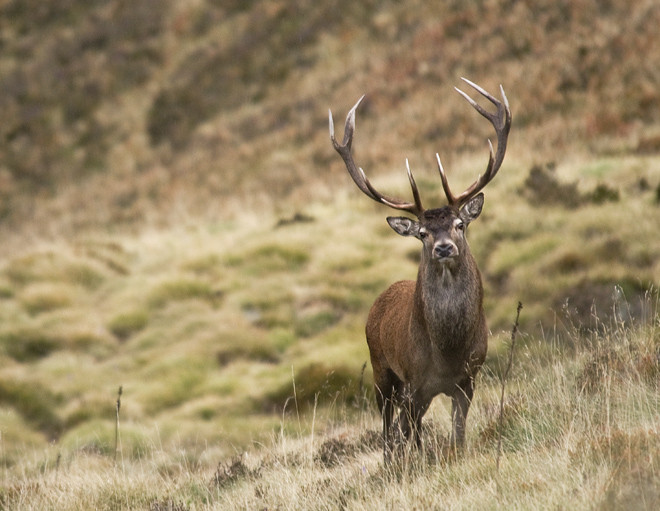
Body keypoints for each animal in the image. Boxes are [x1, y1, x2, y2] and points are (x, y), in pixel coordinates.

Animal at [328, 79, 510, 460]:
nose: (443, 247)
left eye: (460, 224)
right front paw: (414, 462)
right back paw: (390, 460)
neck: (448, 350)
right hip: (381, 370)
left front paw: (455, 455)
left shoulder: (469, 377)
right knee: (388, 427)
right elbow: (408, 435)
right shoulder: (415, 381)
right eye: (423, 233)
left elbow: (458, 432)